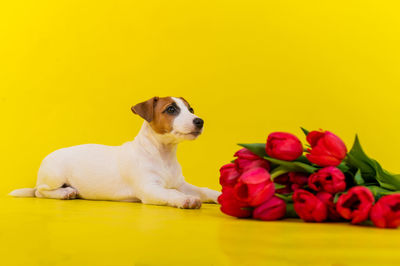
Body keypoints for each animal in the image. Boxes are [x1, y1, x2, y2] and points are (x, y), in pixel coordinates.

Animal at [9, 96, 220, 209]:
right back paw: (65, 193)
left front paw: (218, 195)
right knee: (40, 192)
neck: (163, 155)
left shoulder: (181, 183)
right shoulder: (149, 188)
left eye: (190, 109)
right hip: (54, 176)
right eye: (171, 109)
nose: (199, 121)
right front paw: (185, 199)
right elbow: (171, 193)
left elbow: (203, 190)